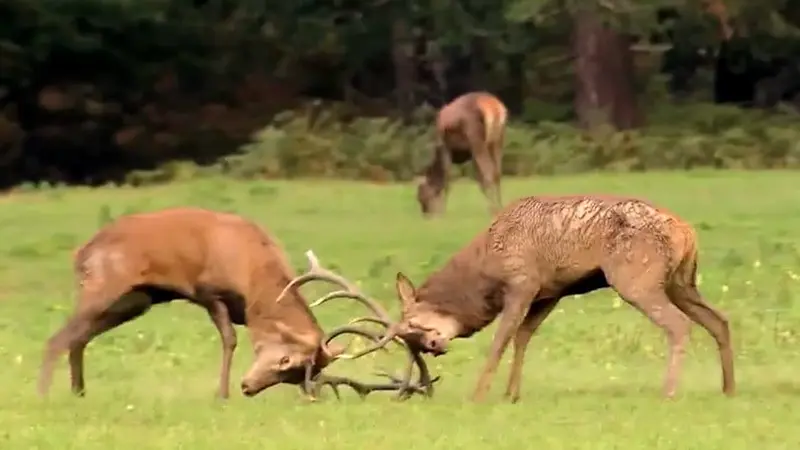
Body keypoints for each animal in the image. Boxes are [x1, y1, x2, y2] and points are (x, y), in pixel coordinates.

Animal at [37, 207, 432, 400]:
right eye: (286, 361)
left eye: (294, 375)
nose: (249, 387)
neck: (252, 274)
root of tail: (82, 253)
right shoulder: (208, 291)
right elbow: (228, 339)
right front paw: (222, 394)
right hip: (104, 285)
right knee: (57, 338)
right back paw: (43, 395)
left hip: (135, 300)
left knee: (78, 338)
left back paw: (79, 392)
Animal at [333, 194, 735, 402]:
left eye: (413, 324)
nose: (433, 347)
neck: (485, 273)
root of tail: (687, 231)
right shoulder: (549, 293)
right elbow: (524, 337)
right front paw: (511, 393)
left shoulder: (522, 283)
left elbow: (501, 339)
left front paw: (479, 394)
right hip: (682, 282)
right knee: (719, 320)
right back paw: (728, 388)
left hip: (638, 279)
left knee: (678, 325)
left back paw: (669, 390)